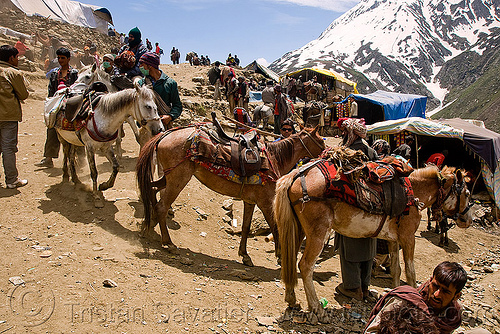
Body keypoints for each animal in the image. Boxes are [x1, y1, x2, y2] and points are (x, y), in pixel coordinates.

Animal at [137, 125, 324, 266]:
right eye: (321, 141)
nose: (328, 154)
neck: (274, 159)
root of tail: (165, 134)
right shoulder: (265, 202)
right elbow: (274, 225)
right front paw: (279, 256)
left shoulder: (250, 201)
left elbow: (246, 227)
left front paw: (245, 255)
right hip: (178, 179)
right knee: (162, 206)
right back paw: (168, 242)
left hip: (170, 177)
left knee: (152, 191)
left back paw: (149, 225)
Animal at [274, 164, 472, 320]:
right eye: (468, 194)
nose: (468, 220)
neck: (414, 192)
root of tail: (295, 175)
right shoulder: (408, 237)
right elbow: (410, 272)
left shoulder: (394, 240)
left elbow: (396, 270)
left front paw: (396, 296)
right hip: (318, 233)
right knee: (305, 265)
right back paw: (317, 309)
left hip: (298, 230)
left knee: (290, 259)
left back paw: (291, 299)